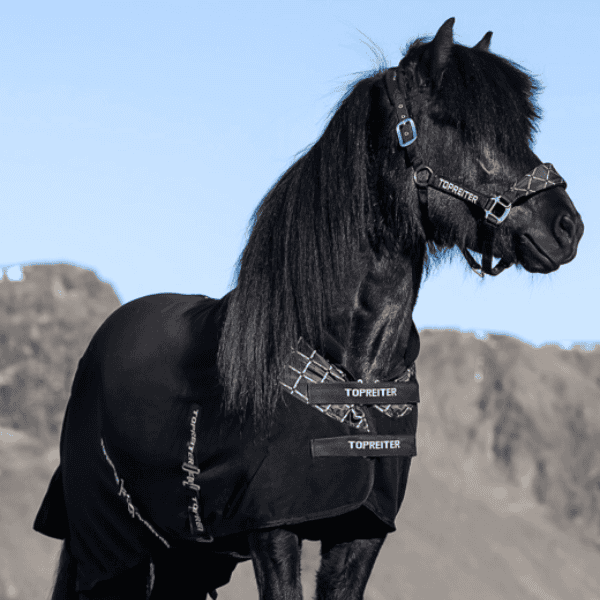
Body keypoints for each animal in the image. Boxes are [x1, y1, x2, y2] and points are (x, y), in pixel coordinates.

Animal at [34, 18, 583, 600]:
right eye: (453, 123)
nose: (567, 227)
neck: (353, 366)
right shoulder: (273, 529)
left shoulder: (361, 533)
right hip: (118, 556)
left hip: (186, 560)